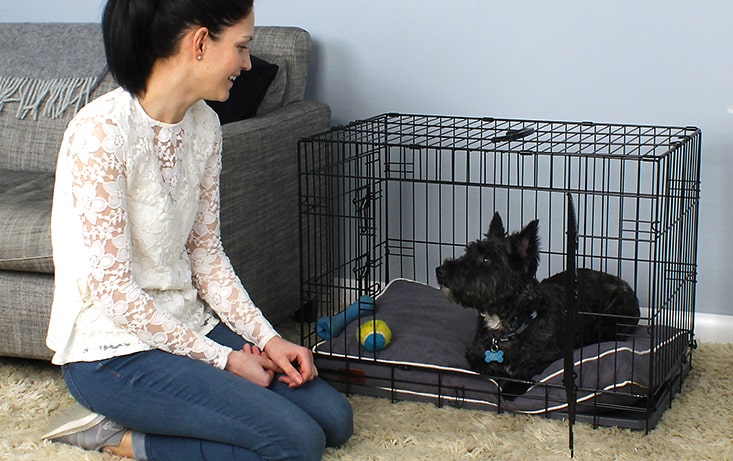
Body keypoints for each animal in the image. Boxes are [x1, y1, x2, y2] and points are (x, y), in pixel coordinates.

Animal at [438, 212, 636, 396]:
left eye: (485, 259)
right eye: (468, 252)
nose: (439, 271)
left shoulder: (545, 359)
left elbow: (518, 376)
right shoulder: (475, 353)